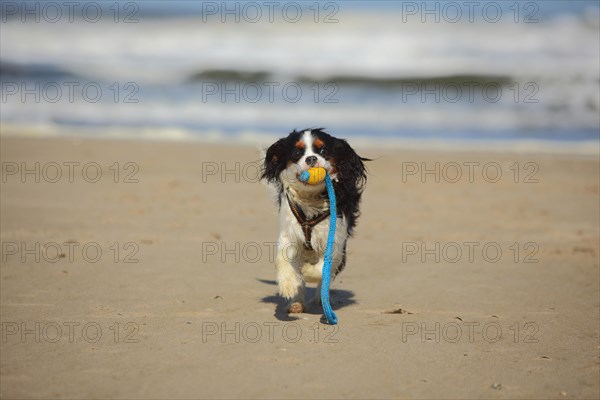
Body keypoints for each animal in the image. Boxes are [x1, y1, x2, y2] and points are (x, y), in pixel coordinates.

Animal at [262, 128, 368, 312]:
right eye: (297, 153)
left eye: (323, 151)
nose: (311, 158)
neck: (311, 197)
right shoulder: (288, 234)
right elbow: (282, 259)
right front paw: (288, 284)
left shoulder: (335, 239)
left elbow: (322, 268)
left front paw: (305, 271)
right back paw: (297, 302)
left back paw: (320, 298)